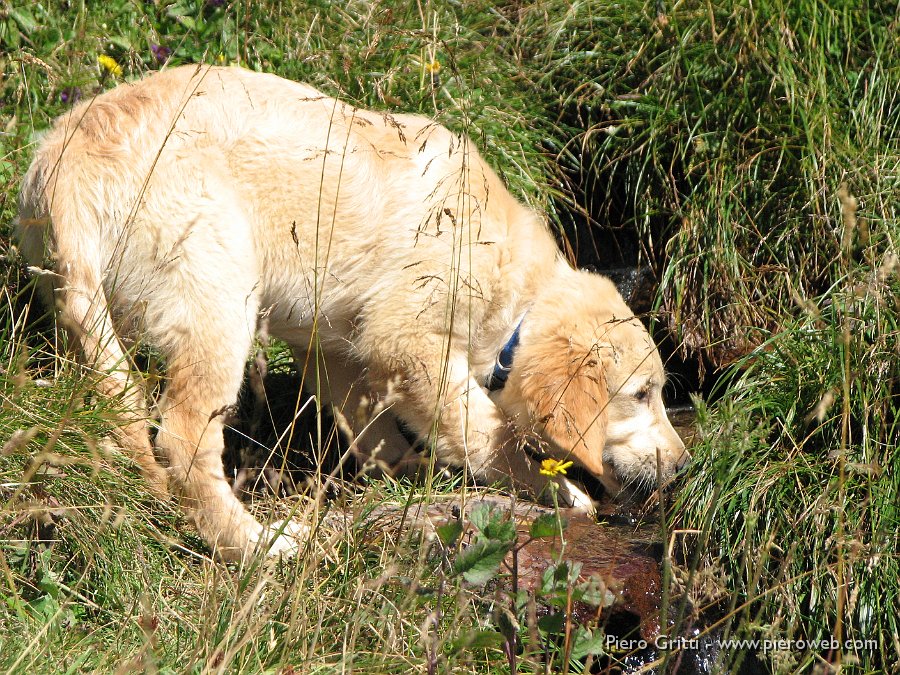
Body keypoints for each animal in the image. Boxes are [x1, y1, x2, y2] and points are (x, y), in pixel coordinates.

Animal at [15, 64, 688, 560]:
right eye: (641, 394)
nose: (683, 468)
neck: (519, 289)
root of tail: (64, 168)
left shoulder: (337, 345)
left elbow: (373, 423)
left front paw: (410, 468)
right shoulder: (408, 337)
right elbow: (482, 428)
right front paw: (558, 489)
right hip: (216, 283)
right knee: (182, 439)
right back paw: (259, 545)